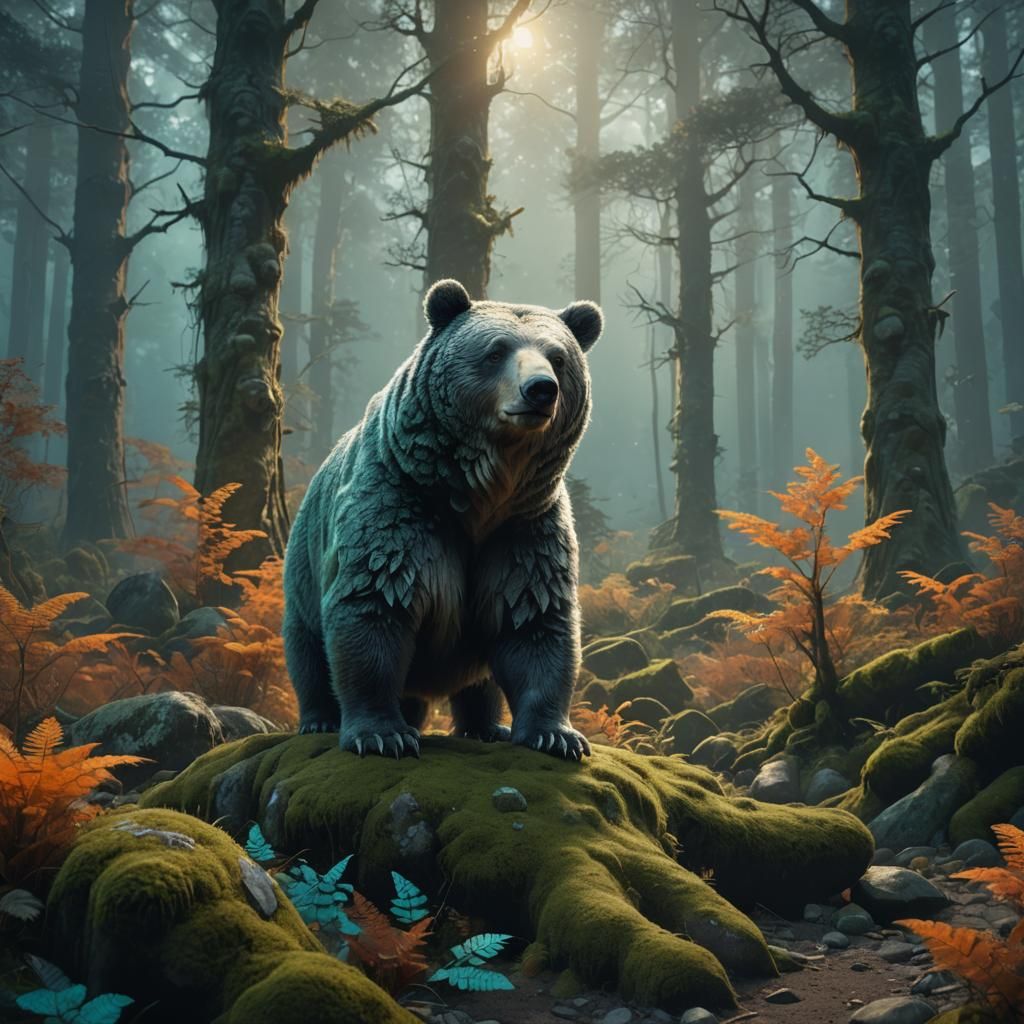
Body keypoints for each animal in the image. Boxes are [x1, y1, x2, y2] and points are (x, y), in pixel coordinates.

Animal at [282, 278, 603, 759]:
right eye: (496, 351)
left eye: (559, 358)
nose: (540, 389)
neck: (477, 494)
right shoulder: (399, 507)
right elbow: (374, 605)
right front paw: (383, 735)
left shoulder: (523, 527)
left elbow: (535, 620)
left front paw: (557, 735)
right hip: (304, 566)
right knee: (309, 652)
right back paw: (320, 718)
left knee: (480, 679)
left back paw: (487, 726)